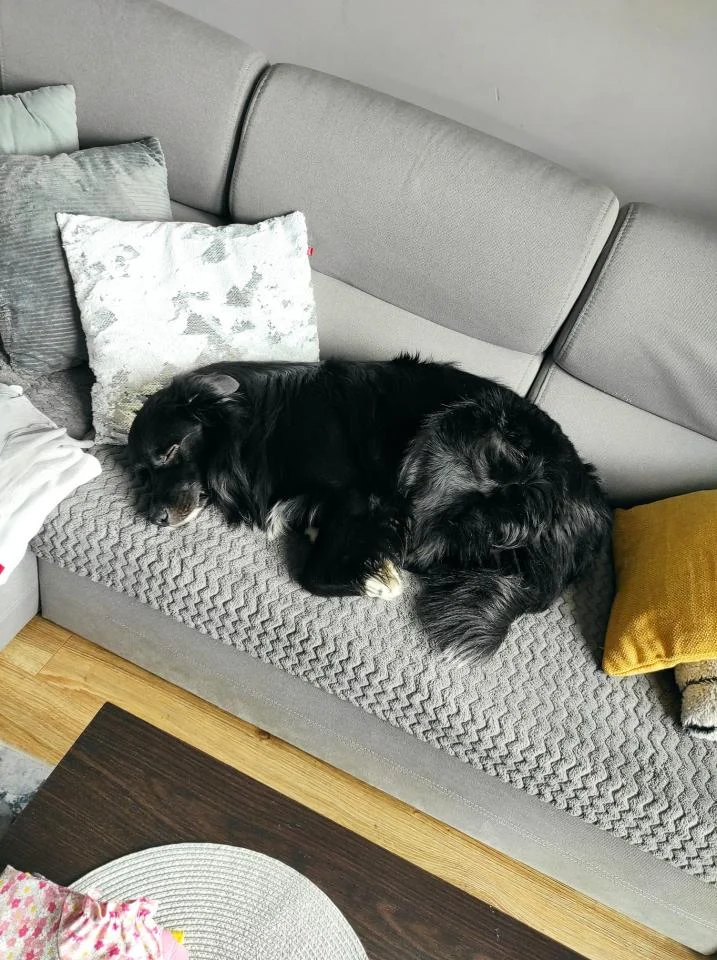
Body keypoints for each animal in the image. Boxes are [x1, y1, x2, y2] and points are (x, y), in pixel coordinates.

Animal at [127, 355, 611, 661]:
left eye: (169, 451)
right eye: (141, 471)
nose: (153, 517)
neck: (255, 426)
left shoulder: (365, 497)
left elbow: (312, 575)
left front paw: (377, 581)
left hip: (445, 435)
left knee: (420, 546)